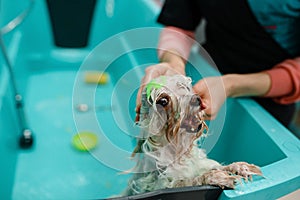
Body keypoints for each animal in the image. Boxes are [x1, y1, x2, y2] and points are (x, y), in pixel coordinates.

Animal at [123, 74, 262, 195]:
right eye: (163, 100)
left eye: (183, 86)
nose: (196, 99)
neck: (177, 151)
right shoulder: (163, 183)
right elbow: (189, 181)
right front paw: (215, 176)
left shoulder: (199, 163)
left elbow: (217, 166)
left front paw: (239, 167)